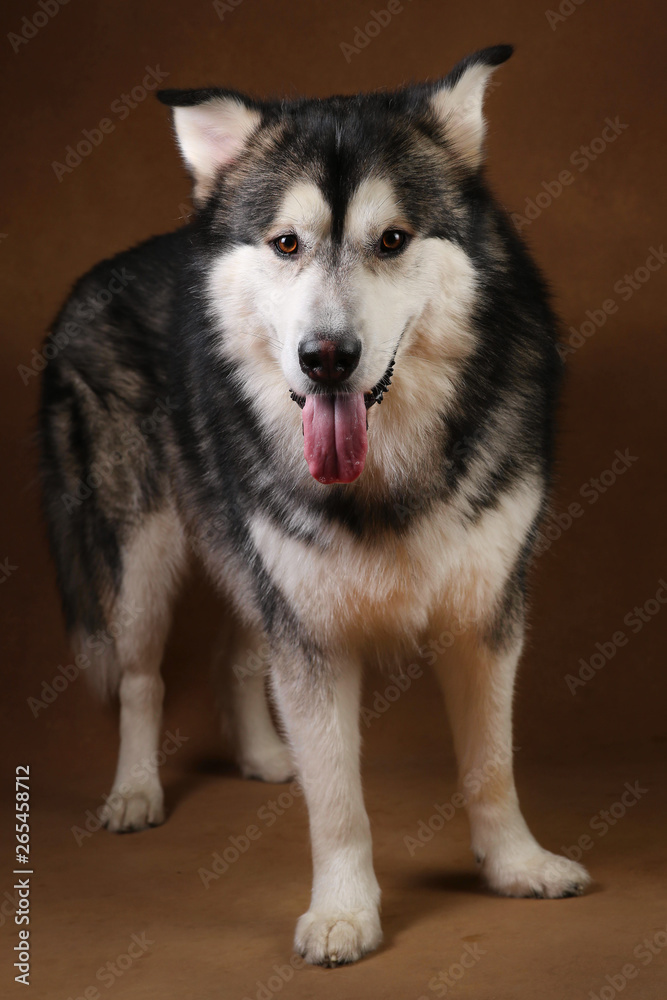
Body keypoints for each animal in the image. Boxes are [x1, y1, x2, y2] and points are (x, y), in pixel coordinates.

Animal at [37, 43, 588, 964]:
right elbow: (338, 804)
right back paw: (136, 791)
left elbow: (491, 765)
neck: (387, 473)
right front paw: (343, 911)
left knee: (233, 653)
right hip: (142, 556)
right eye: (286, 243)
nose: (326, 357)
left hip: (249, 553)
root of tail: (97, 275)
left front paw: (515, 866)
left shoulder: (482, 613)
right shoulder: (313, 631)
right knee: (143, 677)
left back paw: (266, 755)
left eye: (392, 240)